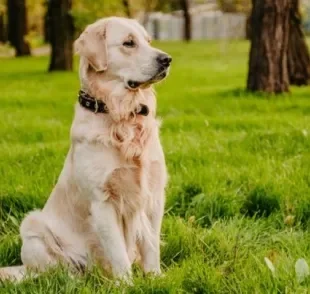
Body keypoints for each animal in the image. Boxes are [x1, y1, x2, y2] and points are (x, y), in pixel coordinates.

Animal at [0, 16, 171, 282]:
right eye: (128, 43)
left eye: (149, 41)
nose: (166, 59)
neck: (121, 115)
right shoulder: (102, 201)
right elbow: (118, 252)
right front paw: (126, 284)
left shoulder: (153, 195)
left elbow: (151, 246)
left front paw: (154, 279)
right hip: (33, 227)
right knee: (53, 272)